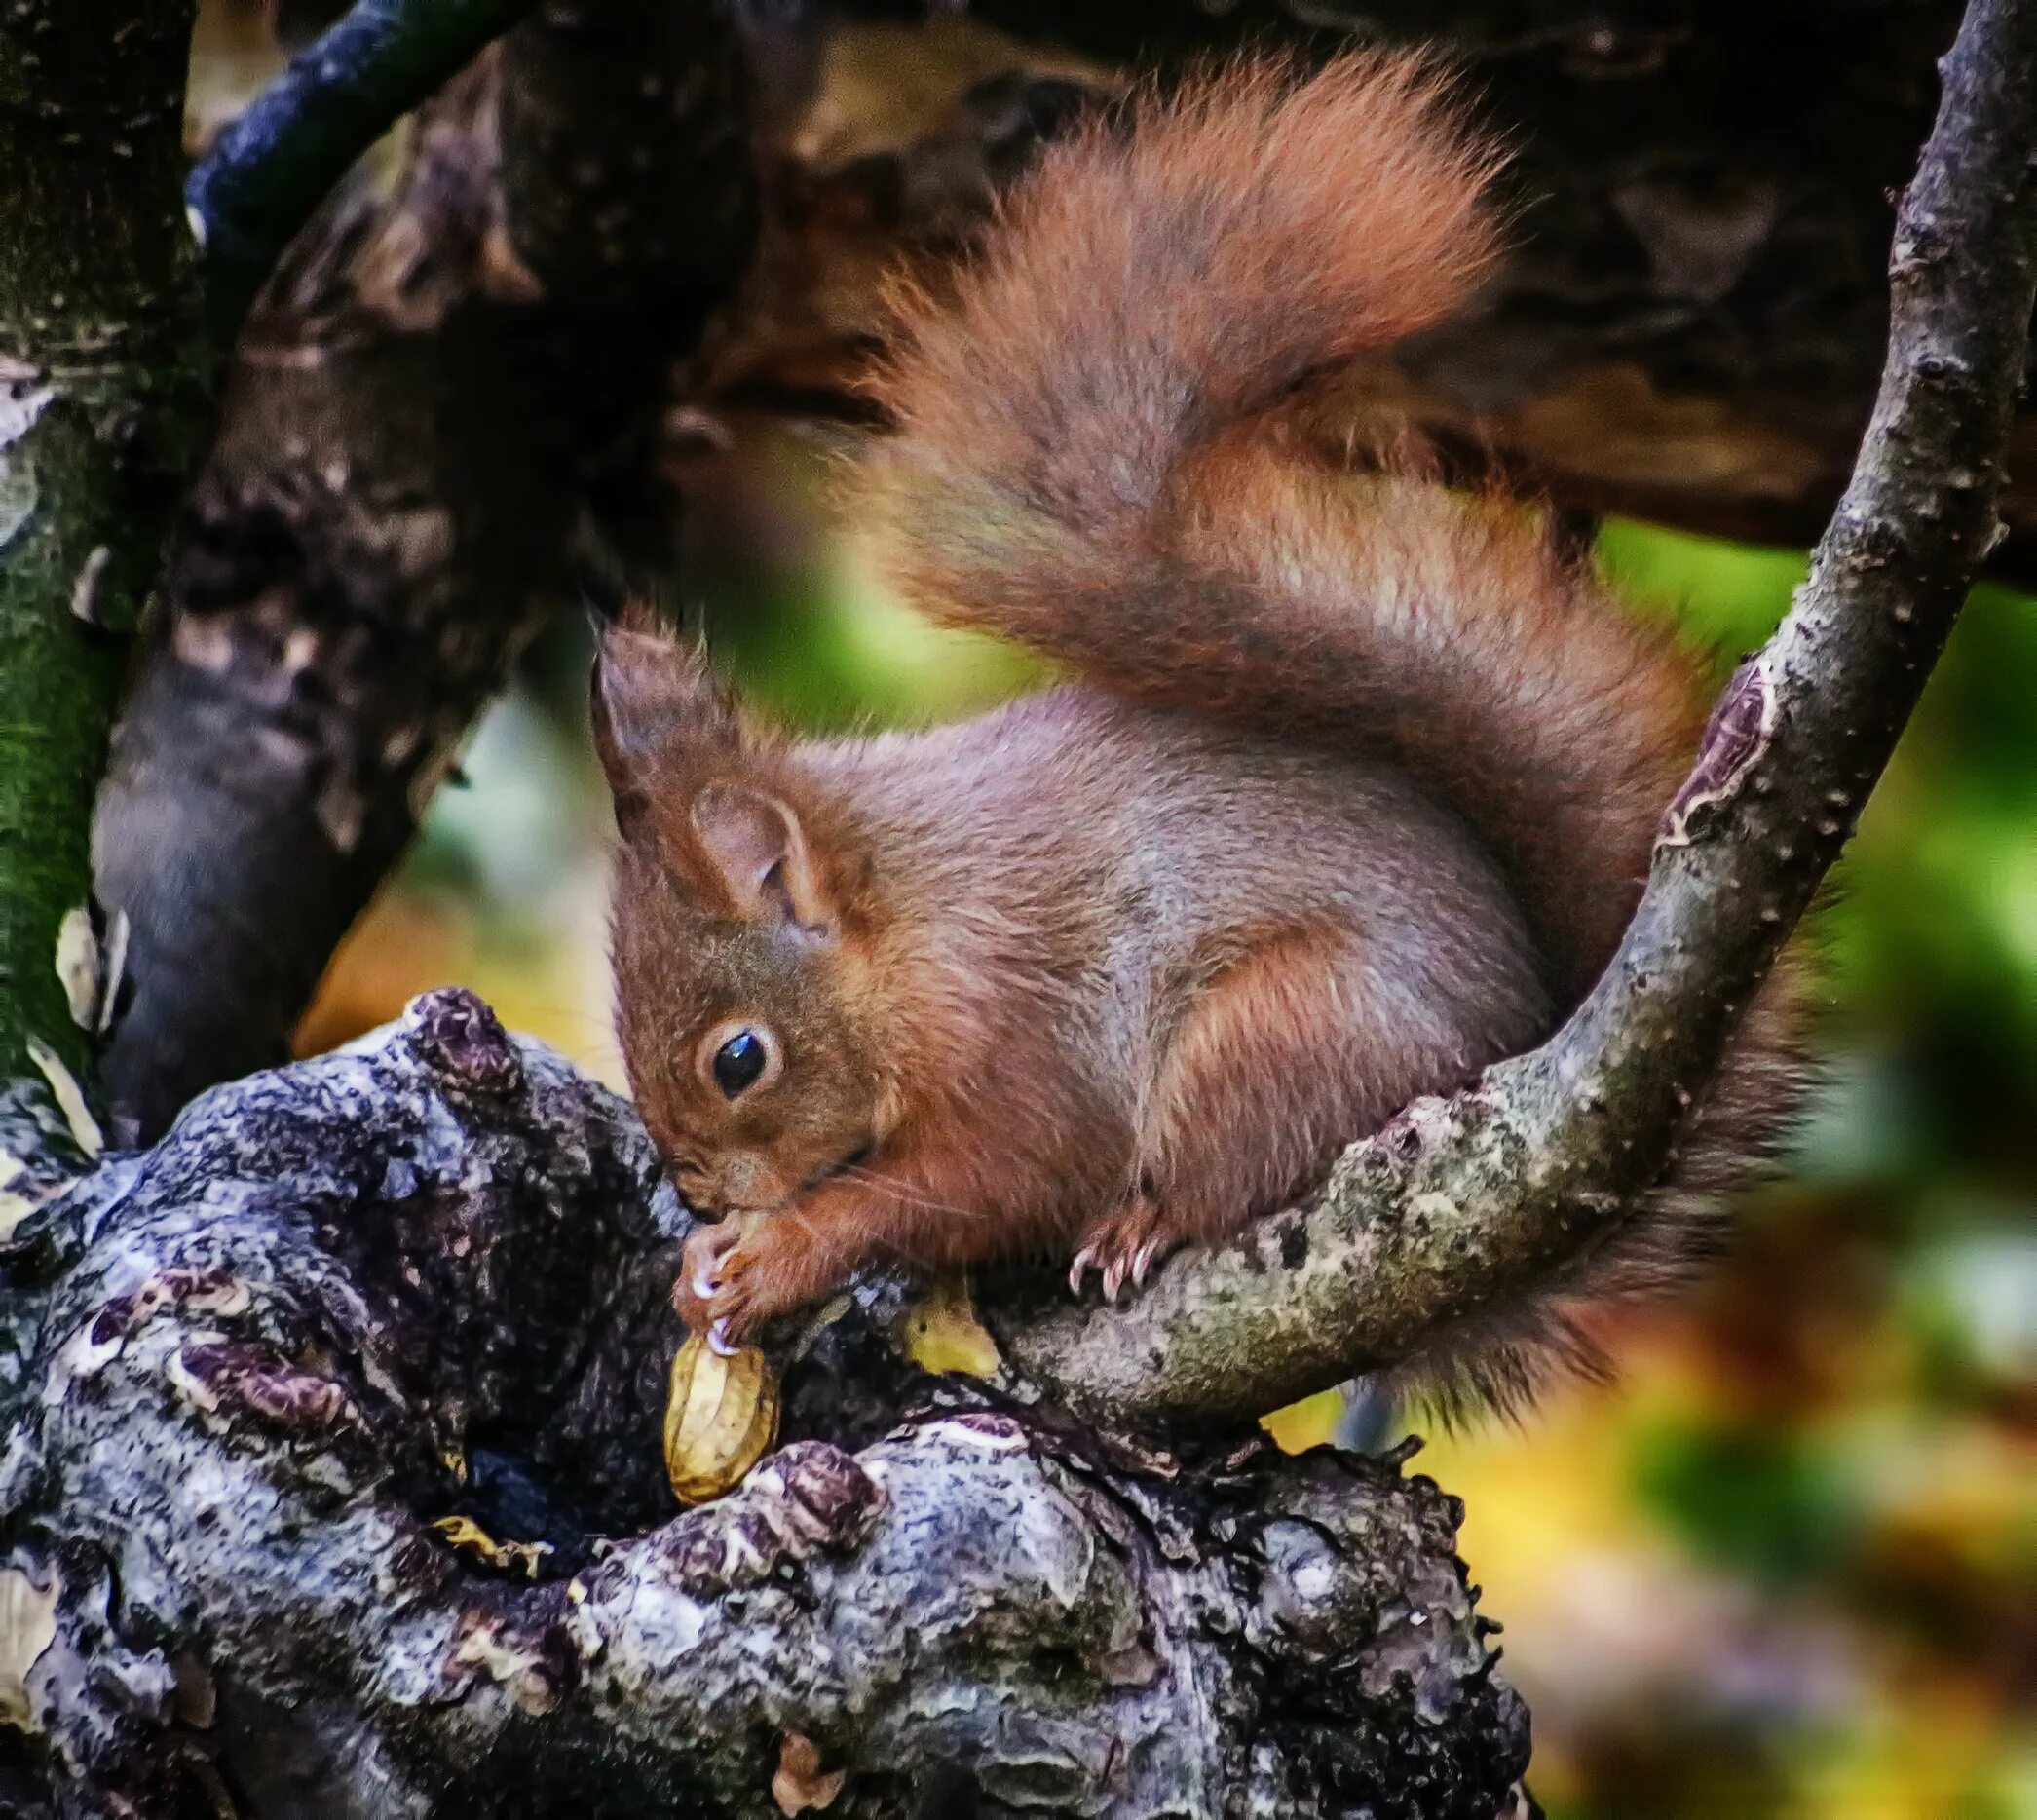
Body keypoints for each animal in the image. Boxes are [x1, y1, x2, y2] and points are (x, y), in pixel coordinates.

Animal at [594, 53, 1800, 1393]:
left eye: (738, 1058)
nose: (699, 1185)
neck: (907, 920)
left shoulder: (1019, 1033)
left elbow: (990, 1176)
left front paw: (777, 1250)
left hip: (1276, 1036)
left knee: (1231, 1167)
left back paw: (1146, 1221)